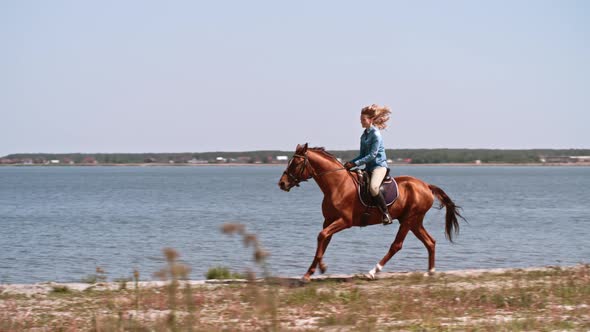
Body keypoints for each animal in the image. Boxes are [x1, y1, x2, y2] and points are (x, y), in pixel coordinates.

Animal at [278, 144, 468, 282]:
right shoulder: (329, 220)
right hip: (414, 221)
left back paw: (372, 271)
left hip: (409, 220)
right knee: (430, 242)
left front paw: (317, 269)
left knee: (396, 245)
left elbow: (322, 236)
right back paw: (430, 272)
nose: (282, 183)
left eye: (296, 164)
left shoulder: (344, 221)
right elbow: (323, 240)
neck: (337, 185)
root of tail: (426, 186)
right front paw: (313, 270)